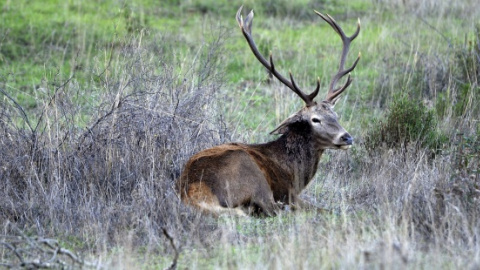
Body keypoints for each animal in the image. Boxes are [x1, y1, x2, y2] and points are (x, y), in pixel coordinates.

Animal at [176, 5, 360, 217]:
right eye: (315, 119)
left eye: (335, 115)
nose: (347, 137)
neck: (293, 173)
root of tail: (194, 192)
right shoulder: (288, 193)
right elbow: (324, 209)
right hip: (252, 176)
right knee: (271, 209)